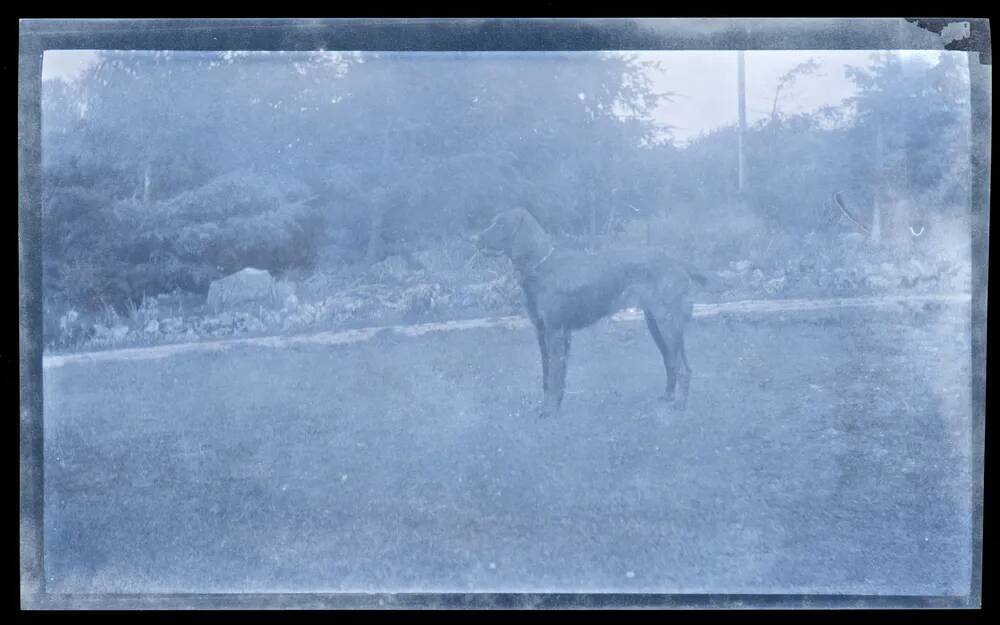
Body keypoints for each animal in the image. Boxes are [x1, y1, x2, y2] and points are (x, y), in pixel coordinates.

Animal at [472, 207, 708, 416]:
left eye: (501, 224)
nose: (475, 238)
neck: (541, 266)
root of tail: (677, 262)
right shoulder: (545, 332)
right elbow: (550, 376)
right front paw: (553, 405)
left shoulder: (555, 332)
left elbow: (555, 375)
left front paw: (549, 410)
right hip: (658, 325)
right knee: (673, 362)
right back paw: (668, 396)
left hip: (667, 323)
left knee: (683, 368)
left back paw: (679, 405)